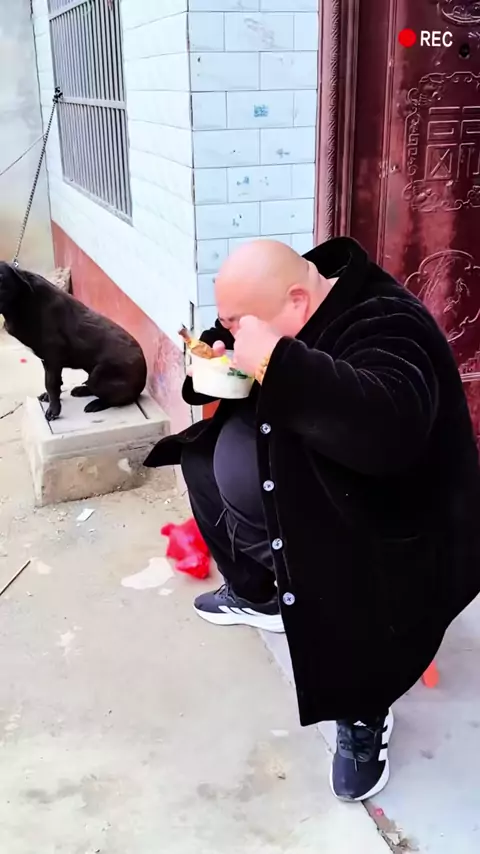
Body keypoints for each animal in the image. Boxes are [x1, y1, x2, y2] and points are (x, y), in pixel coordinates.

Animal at [0, 262, 147, 421]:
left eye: (1, 278)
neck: (23, 300)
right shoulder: (47, 361)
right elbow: (52, 383)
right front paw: (50, 399)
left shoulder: (53, 357)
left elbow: (51, 384)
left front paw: (53, 410)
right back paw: (82, 390)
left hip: (98, 375)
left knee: (119, 397)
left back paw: (96, 403)